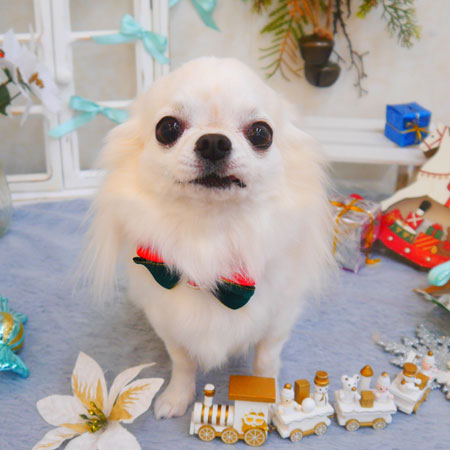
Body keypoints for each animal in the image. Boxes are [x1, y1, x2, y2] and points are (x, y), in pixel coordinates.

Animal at [85, 57, 333, 419]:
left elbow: (265, 363)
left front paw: (272, 400)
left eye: (261, 133)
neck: (211, 236)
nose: (214, 141)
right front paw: (177, 397)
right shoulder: (169, 322)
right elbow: (182, 361)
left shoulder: (277, 321)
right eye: (167, 128)